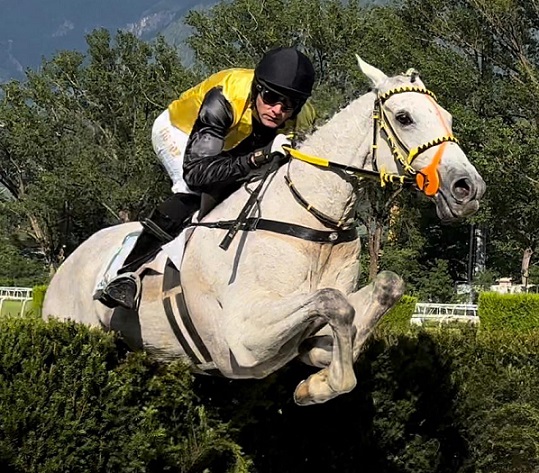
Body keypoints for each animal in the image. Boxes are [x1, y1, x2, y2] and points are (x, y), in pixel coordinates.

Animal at [44, 56, 488, 406]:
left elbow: (383, 289)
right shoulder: (243, 343)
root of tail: (69, 261)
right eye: (404, 117)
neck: (313, 222)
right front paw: (316, 388)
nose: (467, 188)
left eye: (448, 118)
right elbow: (334, 303)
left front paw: (317, 380)